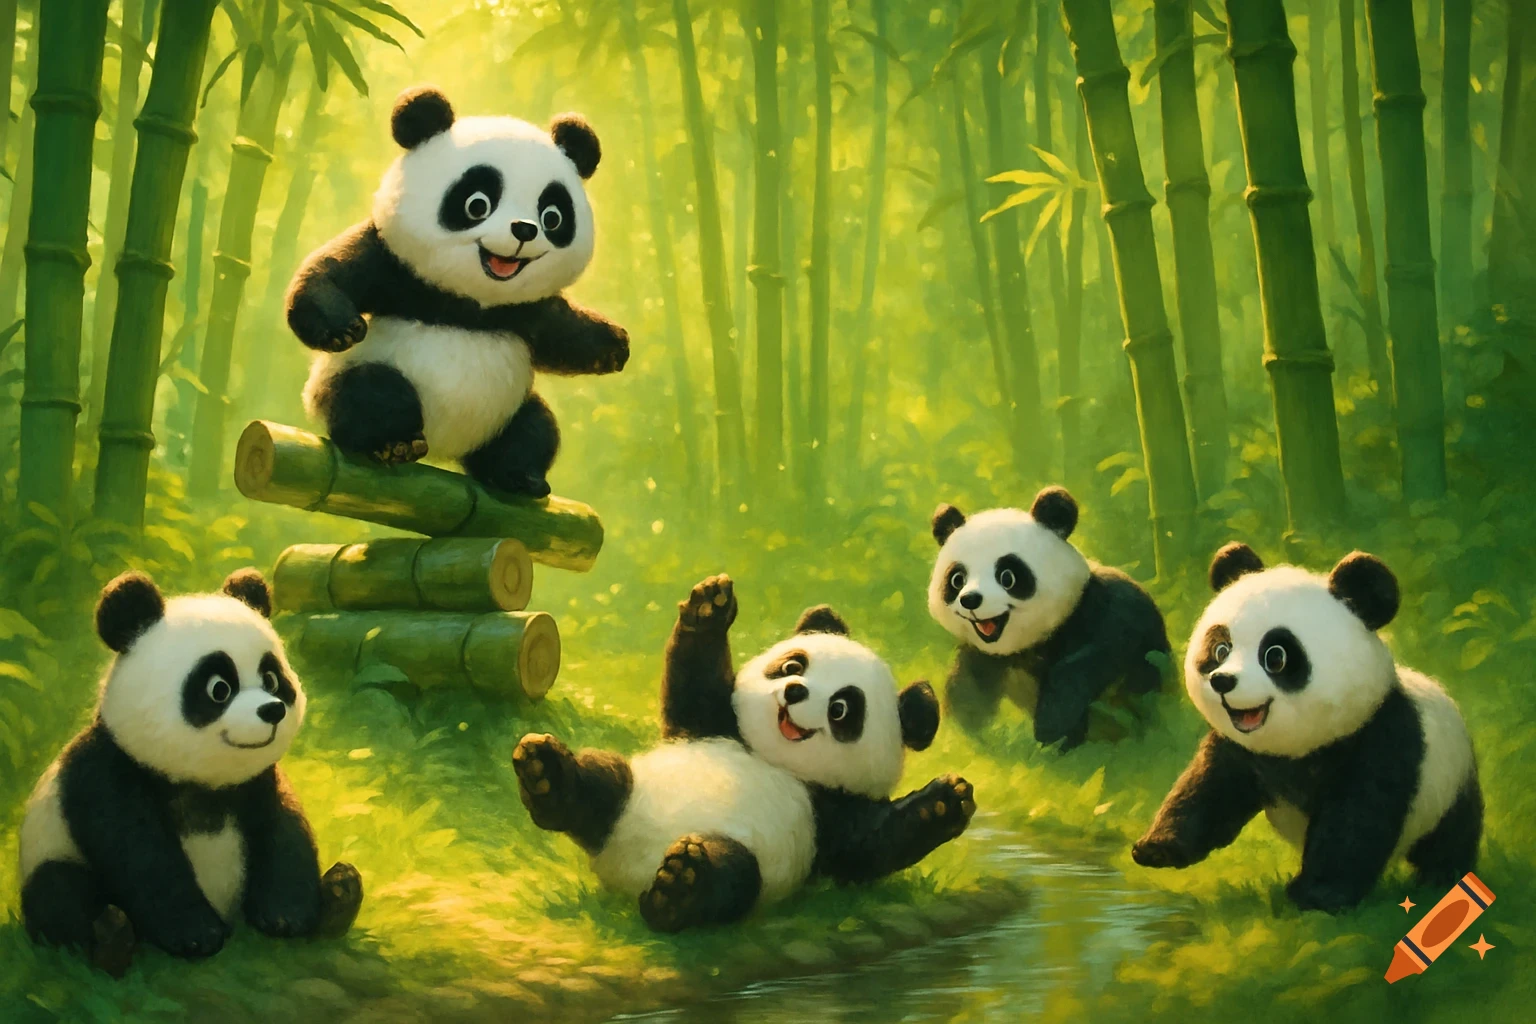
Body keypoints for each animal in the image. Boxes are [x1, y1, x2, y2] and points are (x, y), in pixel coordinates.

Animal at [18, 570, 363, 975]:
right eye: (219, 688)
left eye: (272, 680)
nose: (273, 710)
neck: (204, 781)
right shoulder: (107, 769)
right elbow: (137, 849)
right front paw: (196, 935)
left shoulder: (258, 781)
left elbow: (284, 827)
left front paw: (286, 916)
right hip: (53, 852)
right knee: (60, 893)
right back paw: (112, 940)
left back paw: (341, 896)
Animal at [287, 85, 630, 498]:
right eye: (476, 204)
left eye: (552, 216)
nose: (524, 229)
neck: (470, 302)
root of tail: (444, 447)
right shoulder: (394, 263)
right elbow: (331, 271)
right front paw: (342, 328)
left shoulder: (524, 308)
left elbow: (562, 332)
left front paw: (615, 346)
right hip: (342, 382)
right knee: (371, 394)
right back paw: (394, 443)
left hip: (506, 409)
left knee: (533, 427)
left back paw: (520, 475)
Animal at [512, 575, 975, 932]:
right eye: (792, 666)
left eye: (841, 710)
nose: (793, 692)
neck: (772, 757)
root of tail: (623, 872)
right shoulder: (716, 725)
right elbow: (694, 687)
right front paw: (711, 605)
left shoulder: (830, 813)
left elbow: (868, 847)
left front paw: (946, 801)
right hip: (630, 789)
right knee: (601, 782)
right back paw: (544, 771)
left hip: (752, 864)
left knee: (730, 878)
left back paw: (680, 886)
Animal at [927, 485, 1171, 748]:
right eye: (956, 579)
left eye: (1007, 576)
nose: (970, 599)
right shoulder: (985, 656)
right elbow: (969, 693)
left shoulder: (1108, 612)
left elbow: (1098, 657)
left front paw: (1052, 730)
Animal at [1132, 543, 1483, 913]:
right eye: (1220, 649)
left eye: (1276, 656)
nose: (1222, 681)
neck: (1296, 749)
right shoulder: (1238, 749)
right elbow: (1205, 792)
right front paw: (1157, 849)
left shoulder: (1380, 735)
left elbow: (1357, 818)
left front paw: (1317, 894)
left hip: (1449, 784)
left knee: (1450, 837)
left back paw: (1442, 878)